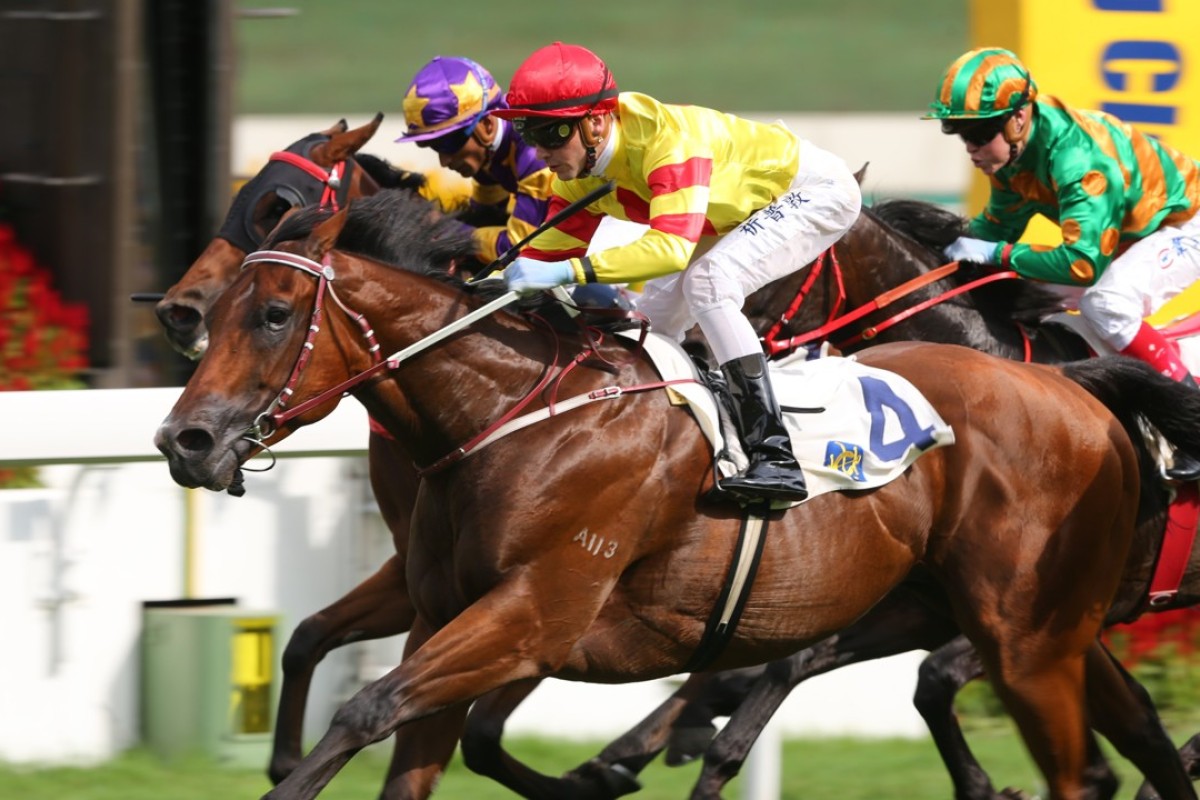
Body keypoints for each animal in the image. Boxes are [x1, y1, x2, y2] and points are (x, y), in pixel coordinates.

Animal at [154, 194, 1200, 800]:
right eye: (228, 309)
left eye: (274, 314)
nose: (184, 441)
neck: (508, 414)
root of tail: (1078, 391)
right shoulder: (439, 608)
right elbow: (374, 697)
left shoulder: (537, 614)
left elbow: (372, 710)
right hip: (997, 614)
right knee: (1135, 735)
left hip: (1016, 621)